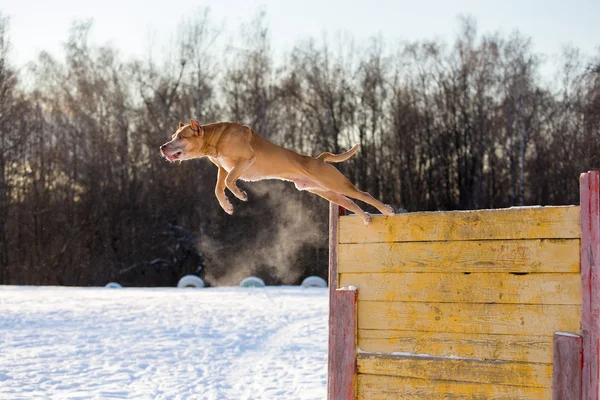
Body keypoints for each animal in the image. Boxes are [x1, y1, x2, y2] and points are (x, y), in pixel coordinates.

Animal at [159, 120, 394, 223]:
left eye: (181, 137)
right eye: (173, 136)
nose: (162, 146)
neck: (215, 137)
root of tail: (318, 159)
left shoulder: (244, 160)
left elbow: (229, 183)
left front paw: (240, 195)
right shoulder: (223, 168)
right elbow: (218, 189)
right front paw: (227, 206)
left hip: (335, 183)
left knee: (363, 194)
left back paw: (386, 210)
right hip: (325, 191)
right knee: (350, 202)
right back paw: (365, 217)